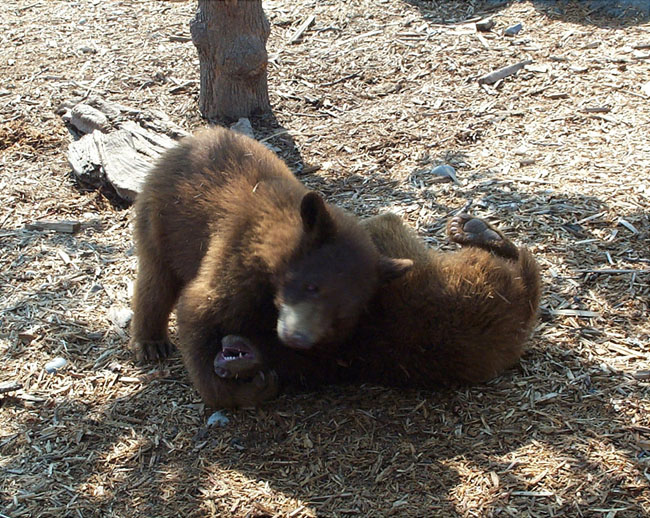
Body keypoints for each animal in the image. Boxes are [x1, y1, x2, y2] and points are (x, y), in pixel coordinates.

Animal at [129, 126, 413, 408]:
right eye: (311, 286)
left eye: (342, 313)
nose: (298, 337)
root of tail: (198, 136)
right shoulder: (236, 263)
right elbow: (198, 311)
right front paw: (243, 390)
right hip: (160, 220)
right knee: (156, 281)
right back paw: (152, 342)